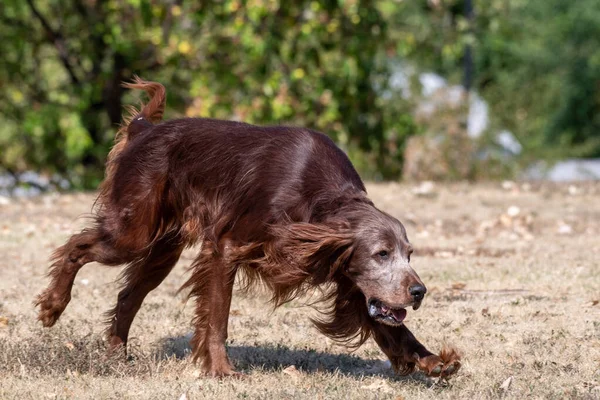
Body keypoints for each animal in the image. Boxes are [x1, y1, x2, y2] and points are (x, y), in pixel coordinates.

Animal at [35, 77, 462, 378]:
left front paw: (431, 361)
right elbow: (218, 319)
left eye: (410, 254)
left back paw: (117, 354)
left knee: (127, 297)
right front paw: (221, 369)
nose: (419, 292)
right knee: (76, 247)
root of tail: (144, 130)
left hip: (163, 249)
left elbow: (393, 328)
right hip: (133, 232)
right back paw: (53, 308)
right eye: (381, 253)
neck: (318, 198)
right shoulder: (226, 247)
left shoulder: (345, 273)